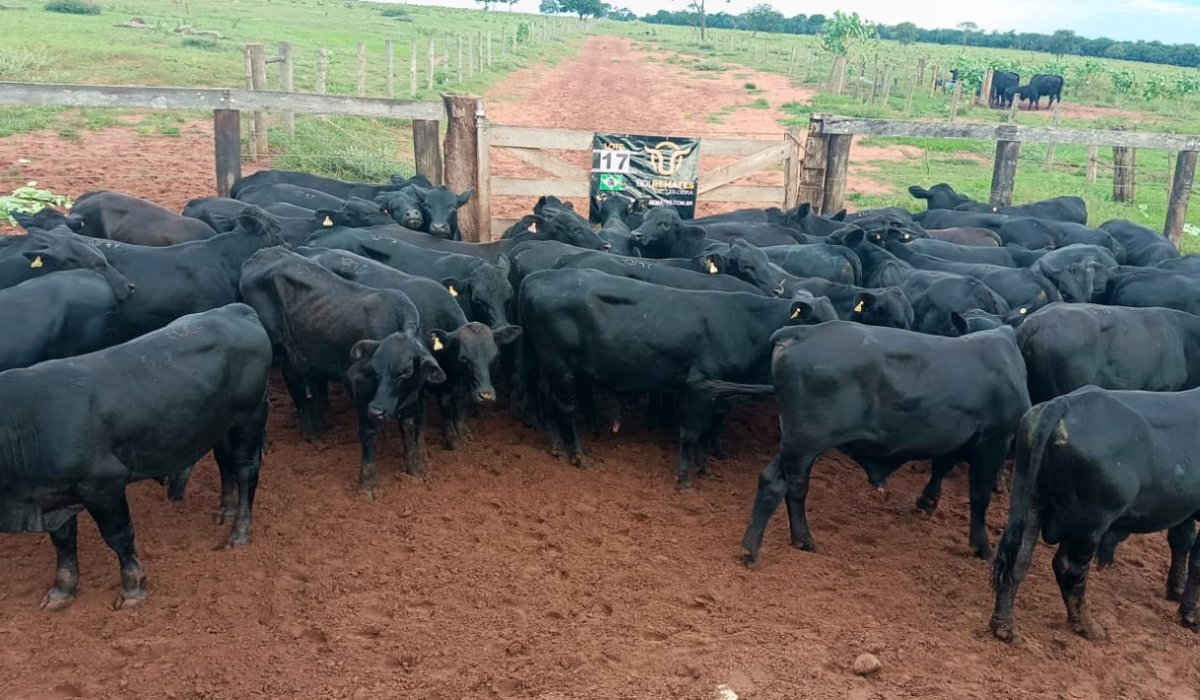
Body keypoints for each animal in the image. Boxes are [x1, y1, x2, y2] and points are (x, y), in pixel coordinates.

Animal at [0, 303, 272, 610]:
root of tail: (235, 309)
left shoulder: (104, 484)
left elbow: (119, 536)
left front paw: (133, 588)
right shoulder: (54, 497)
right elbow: (64, 542)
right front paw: (61, 590)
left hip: (250, 417)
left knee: (245, 470)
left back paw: (239, 533)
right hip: (220, 426)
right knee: (224, 462)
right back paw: (224, 511)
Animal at [239, 247, 445, 494]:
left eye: (405, 372)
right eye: (374, 370)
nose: (377, 410)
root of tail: (266, 252)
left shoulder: (412, 393)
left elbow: (409, 426)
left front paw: (415, 470)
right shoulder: (360, 382)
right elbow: (369, 433)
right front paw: (367, 483)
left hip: (293, 352)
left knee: (295, 381)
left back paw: (315, 434)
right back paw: (265, 445)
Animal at [517, 268, 835, 487]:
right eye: (815, 319)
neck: (744, 323)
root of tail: (539, 276)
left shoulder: (719, 391)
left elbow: (708, 429)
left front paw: (705, 466)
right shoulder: (698, 384)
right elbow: (691, 432)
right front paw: (684, 478)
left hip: (547, 365)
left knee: (546, 401)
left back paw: (557, 446)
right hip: (560, 365)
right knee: (565, 408)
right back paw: (578, 455)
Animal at [734, 320, 1030, 566]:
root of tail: (801, 331)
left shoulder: (958, 438)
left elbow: (942, 466)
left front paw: (928, 500)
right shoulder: (995, 439)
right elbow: (980, 496)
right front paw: (982, 547)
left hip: (798, 444)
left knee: (788, 484)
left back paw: (799, 540)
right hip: (804, 441)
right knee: (780, 485)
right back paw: (756, 548)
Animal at [989, 386, 1200, 642]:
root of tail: (1063, 404)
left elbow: (1182, 541)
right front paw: (1190, 616)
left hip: (1029, 500)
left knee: (1017, 559)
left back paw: (1004, 625)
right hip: (1091, 522)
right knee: (1069, 569)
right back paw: (1088, 626)